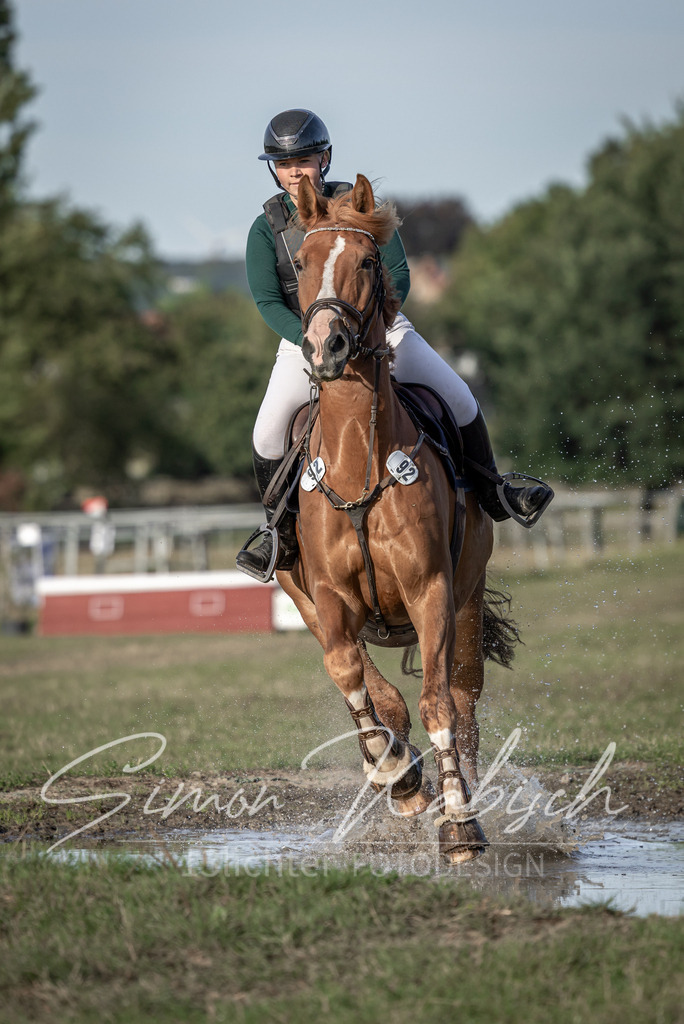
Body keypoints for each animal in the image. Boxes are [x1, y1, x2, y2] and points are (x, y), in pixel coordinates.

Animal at [276, 173, 517, 863]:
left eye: (367, 261)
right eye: (301, 263)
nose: (324, 347)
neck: (358, 459)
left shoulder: (430, 589)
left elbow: (438, 705)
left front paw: (458, 822)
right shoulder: (327, 599)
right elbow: (353, 679)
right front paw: (396, 776)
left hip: (465, 600)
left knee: (461, 701)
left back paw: (461, 793)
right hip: (308, 600)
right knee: (379, 691)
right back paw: (398, 771)